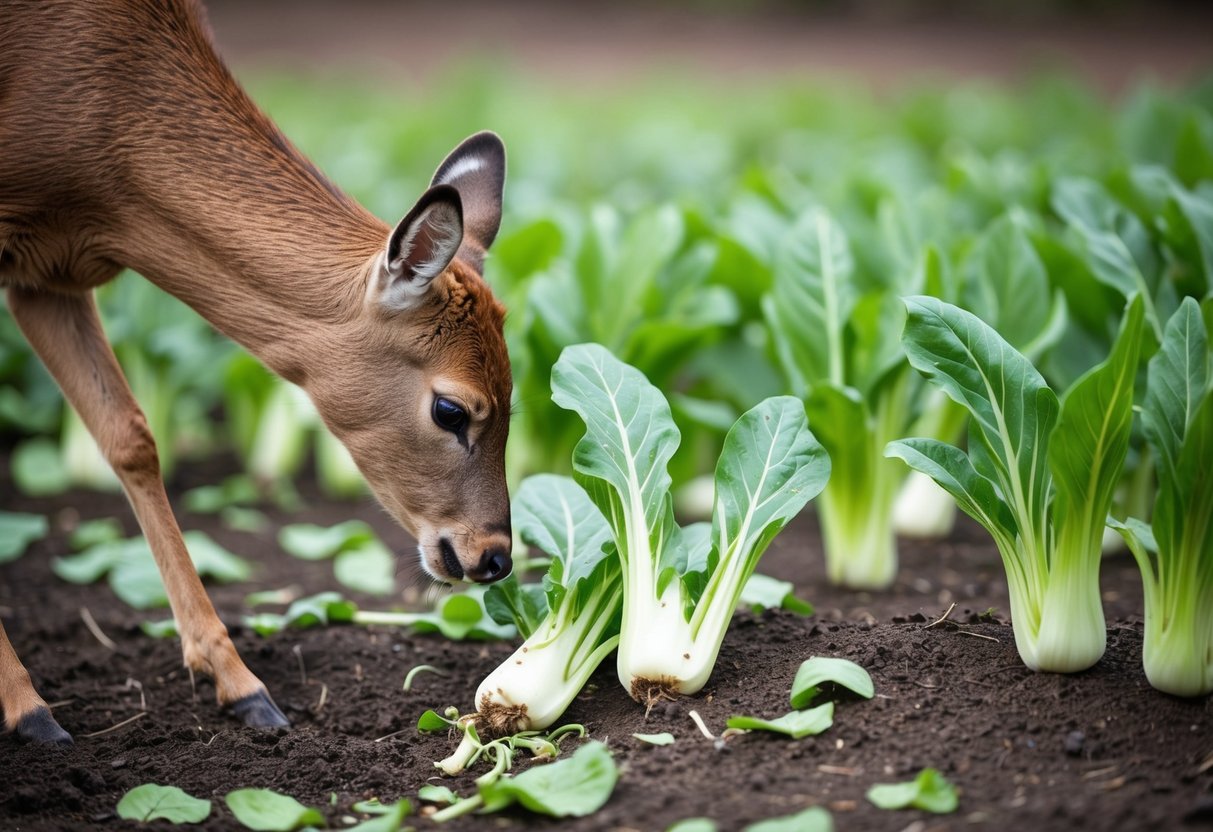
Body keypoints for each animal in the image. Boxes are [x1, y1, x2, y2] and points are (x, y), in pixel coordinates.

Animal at [0, 0, 516, 747]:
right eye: (451, 409)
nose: (494, 555)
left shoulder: (45, 278)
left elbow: (131, 436)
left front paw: (241, 686)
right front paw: (27, 707)